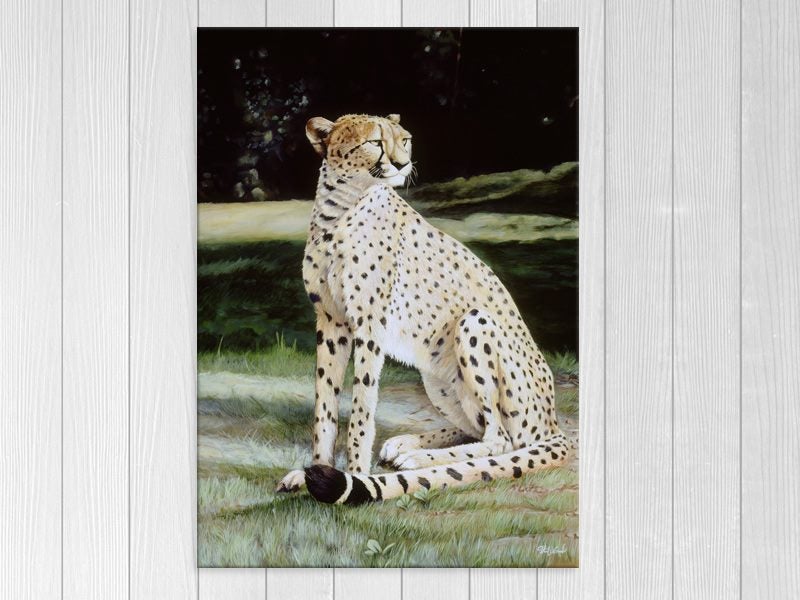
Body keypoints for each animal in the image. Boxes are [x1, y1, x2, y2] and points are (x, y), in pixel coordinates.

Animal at [276, 113, 575, 504]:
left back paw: (418, 459)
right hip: (435, 375)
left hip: (475, 323)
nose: (403, 164)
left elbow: (362, 408)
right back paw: (406, 446)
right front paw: (313, 471)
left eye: (405, 140)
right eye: (374, 142)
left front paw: (354, 475)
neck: (340, 209)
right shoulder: (330, 322)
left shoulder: (369, 327)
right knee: (481, 429)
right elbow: (324, 406)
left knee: (502, 439)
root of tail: (553, 422)